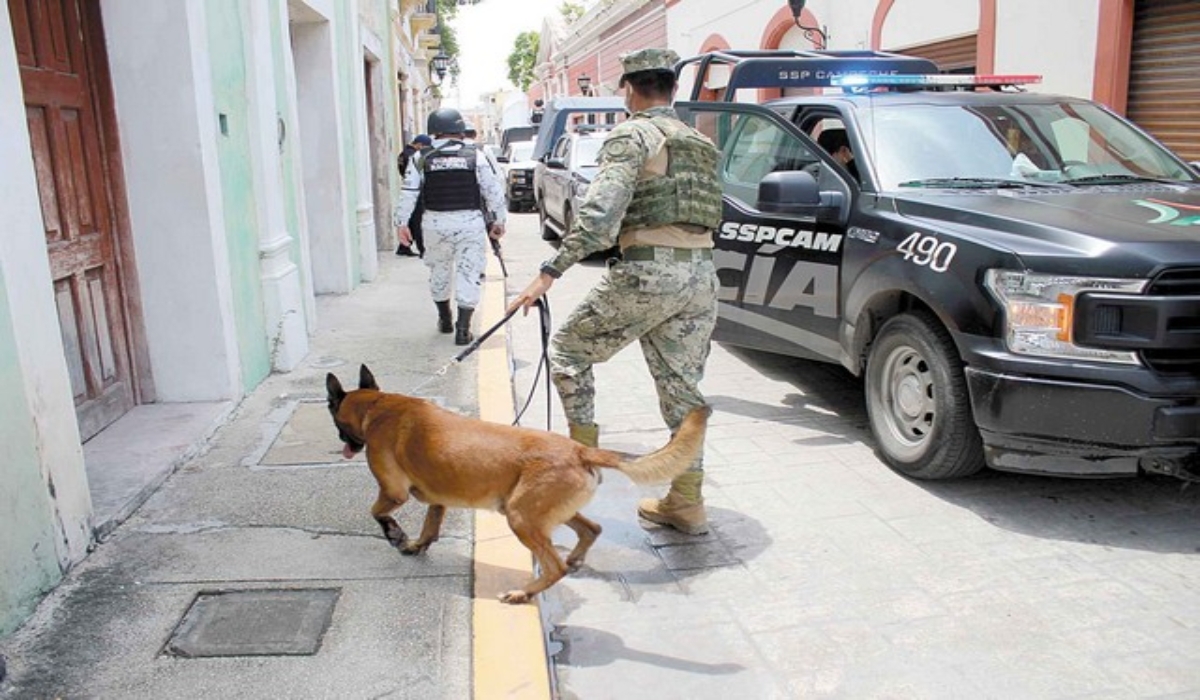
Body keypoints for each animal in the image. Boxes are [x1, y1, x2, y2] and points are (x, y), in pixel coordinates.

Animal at [324, 367, 705, 602]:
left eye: (335, 419)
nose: (342, 442)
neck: (376, 405)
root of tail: (581, 449)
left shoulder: (392, 493)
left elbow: (377, 512)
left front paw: (395, 535)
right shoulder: (437, 500)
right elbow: (430, 526)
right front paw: (416, 544)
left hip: (521, 517)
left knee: (554, 566)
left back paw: (526, 592)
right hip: (541, 512)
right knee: (591, 529)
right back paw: (574, 559)